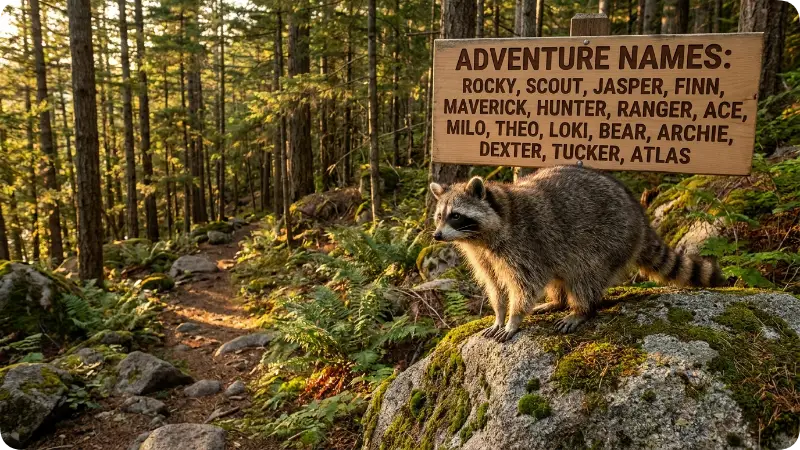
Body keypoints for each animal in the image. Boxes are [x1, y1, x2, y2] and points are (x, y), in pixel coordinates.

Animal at [429, 165, 723, 342]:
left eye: (456, 216)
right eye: (439, 216)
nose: (437, 236)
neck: (480, 239)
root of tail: (640, 216)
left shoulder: (524, 244)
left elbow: (526, 284)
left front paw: (513, 319)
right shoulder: (485, 256)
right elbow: (495, 285)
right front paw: (499, 314)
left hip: (608, 239)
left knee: (585, 276)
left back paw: (580, 309)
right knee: (560, 276)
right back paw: (557, 301)